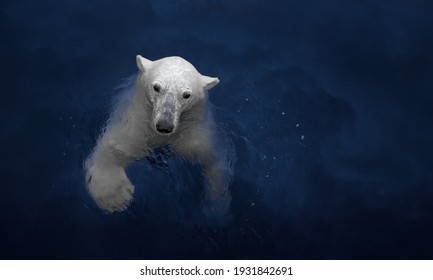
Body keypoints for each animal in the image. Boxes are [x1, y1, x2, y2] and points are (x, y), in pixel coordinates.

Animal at [85, 55, 231, 217]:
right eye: (156, 87)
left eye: (186, 95)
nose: (164, 126)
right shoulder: (137, 124)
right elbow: (118, 146)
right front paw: (114, 197)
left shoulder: (192, 134)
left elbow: (213, 161)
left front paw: (216, 207)